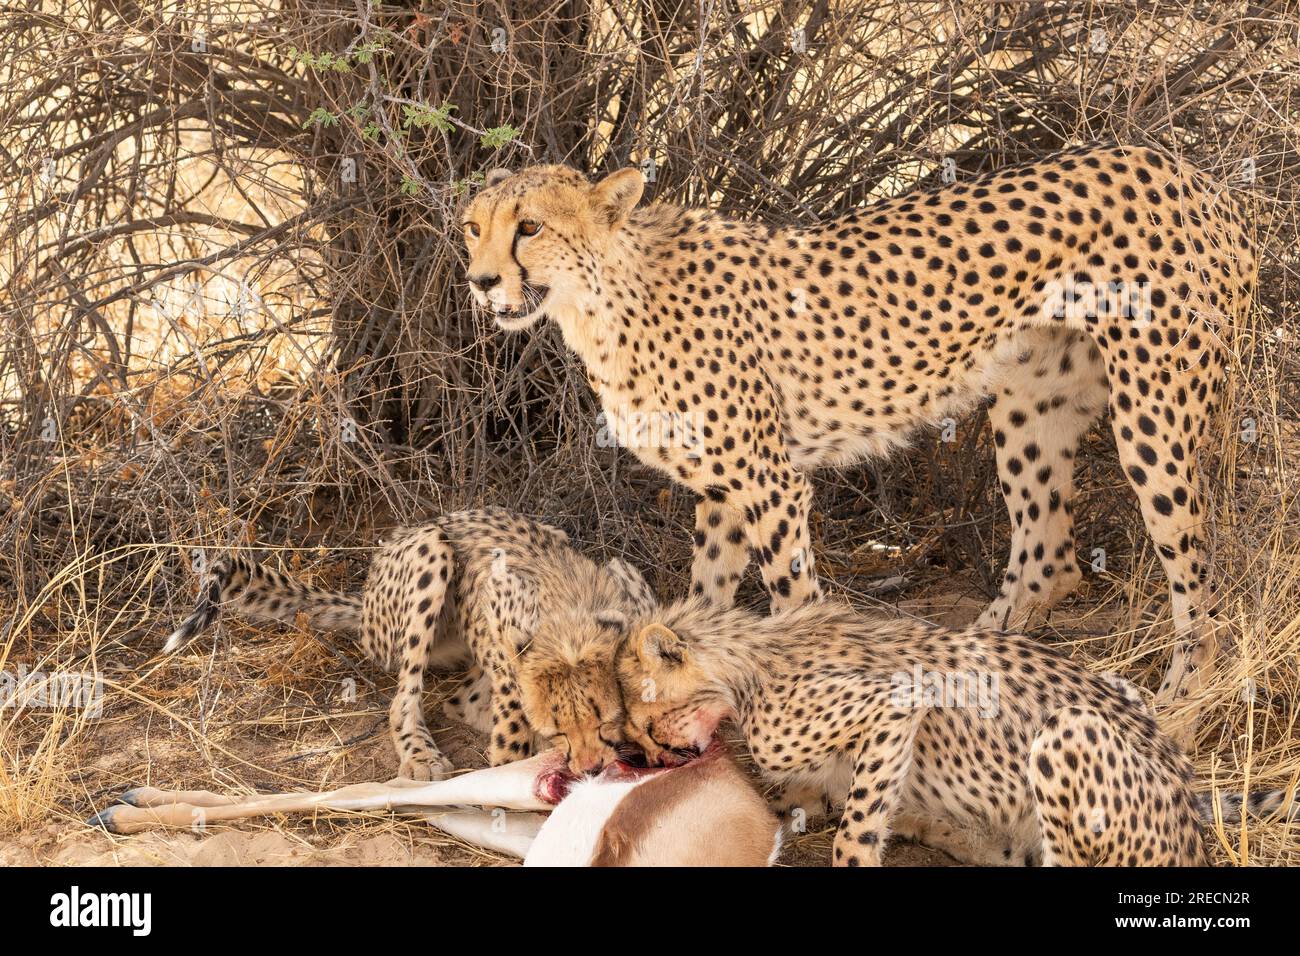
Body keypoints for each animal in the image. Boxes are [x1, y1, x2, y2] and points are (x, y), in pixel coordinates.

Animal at [163, 509, 660, 780]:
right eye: (560, 728)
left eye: (605, 721)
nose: (591, 767)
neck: (572, 622)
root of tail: (364, 604)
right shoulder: (501, 631)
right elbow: (511, 735)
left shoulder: (626, 582)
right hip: (428, 553)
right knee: (404, 703)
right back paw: (423, 755)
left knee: (461, 701)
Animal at [462, 143, 1253, 738]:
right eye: (473, 227)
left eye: (530, 227)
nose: (479, 280)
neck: (603, 302)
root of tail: (1191, 173)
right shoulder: (724, 492)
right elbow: (707, 595)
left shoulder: (771, 484)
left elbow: (792, 603)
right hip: (1031, 406)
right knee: (1050, 561)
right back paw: (967, 668)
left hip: (1155, 417)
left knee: (1200, 586)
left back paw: (1180, 706)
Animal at [613, 600, 1294, 868]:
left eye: (646, 722)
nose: (646, 758)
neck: (741, 665)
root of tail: (1185, 801)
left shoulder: (892, 704)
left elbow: (854, 830)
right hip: (1120, 689)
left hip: (1067, 733)